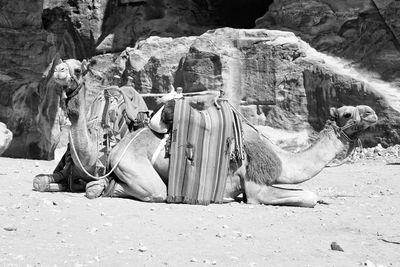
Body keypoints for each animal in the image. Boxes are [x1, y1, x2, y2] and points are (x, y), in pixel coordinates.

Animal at [32, 58, 148, 193]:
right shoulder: (69, 171)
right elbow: (39, 181)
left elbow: (92, 189)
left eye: (77, 70)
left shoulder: (103, 172)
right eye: (59, 65)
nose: (58, 70)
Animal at [86, 99, 376, 208]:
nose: (372, 112)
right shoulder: (257, 188)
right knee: (151, 191)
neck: (282, 159)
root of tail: (118, 147)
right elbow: (308, 196)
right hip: (133, 164)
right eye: (347, 113)